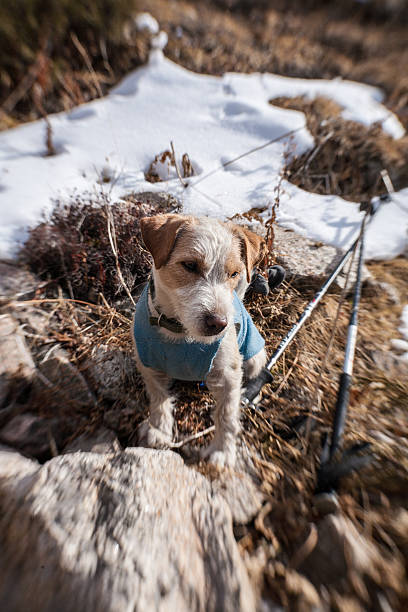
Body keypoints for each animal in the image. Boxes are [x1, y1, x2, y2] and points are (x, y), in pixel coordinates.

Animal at [132, 213, 270, 466]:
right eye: (189, 265)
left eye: (234, 274)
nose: (219, 323)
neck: (180, 333)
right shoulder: (149, 365)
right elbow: (158, 398)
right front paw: (159, 430)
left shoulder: (228, 375)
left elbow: (226, 415)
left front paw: (222, 451)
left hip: (255, 356)